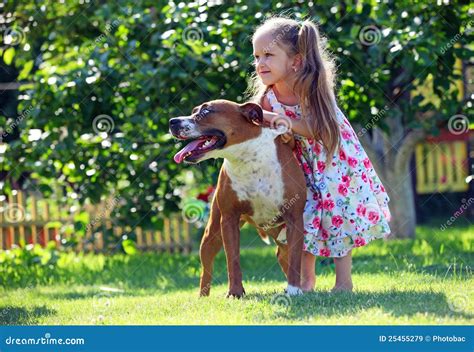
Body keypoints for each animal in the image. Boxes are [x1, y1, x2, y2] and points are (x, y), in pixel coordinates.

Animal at [168, 99, 306, 296]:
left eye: (206, 111)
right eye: (194, 111)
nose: (172, 121)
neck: (247, 158)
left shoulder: (294, 218)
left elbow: (295, 258)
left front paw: (294, 290)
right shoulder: (229, 219)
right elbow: (232, 260)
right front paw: (235, 292)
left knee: (284, 254)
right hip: (211, 235)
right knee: (206, 269)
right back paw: (203, 296)